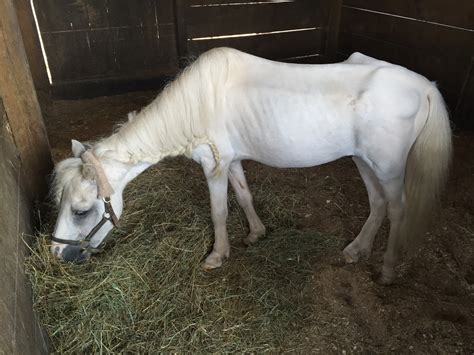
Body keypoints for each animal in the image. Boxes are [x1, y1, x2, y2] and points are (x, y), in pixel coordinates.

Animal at [51, 48, 452, 286]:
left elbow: (219, 212)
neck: (196, 106)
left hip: (388, 168)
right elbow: (244, 197)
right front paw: (256, 233)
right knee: (378, 204)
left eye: (81, 210)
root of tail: (424, 86)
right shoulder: (232, 161)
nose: (57, 254)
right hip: (363, 161)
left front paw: (217, 256)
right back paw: (355, 251)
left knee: (398, 210)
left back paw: (387, 270)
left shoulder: (213, 166)